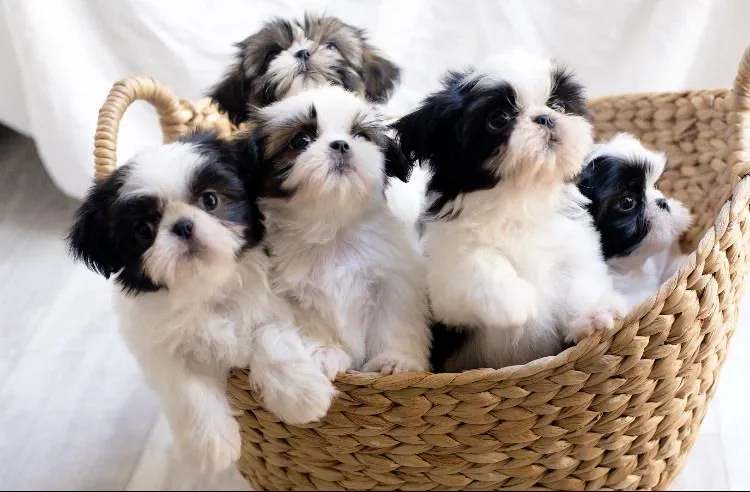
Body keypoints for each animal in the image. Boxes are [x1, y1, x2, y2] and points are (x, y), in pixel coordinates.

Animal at [66, 131, 336, 472]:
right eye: (144, 230)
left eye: (210, 200)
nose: (183, 225)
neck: (206, 289)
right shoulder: (160, 349)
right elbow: (187, 389)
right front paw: (210, 446)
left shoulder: (272, 304)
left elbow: (272, 339)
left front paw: (300, 395)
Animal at [250, 85, 432, 376]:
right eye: (301, 140)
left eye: (360, 135)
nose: (341, 145)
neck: (333, 227)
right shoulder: (292, 294)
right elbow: (312, 324)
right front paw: (326, 353)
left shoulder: (394, 281)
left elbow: (394, 322)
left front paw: (395, 360)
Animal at [394, 51, 628, 372]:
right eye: (499, 119)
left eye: (558, 106)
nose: (546, 117)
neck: (521, 197)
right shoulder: (443, 283)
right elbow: (476, 262)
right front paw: (518, 303)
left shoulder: (573, 249)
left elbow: (580, 283)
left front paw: (593, 315)